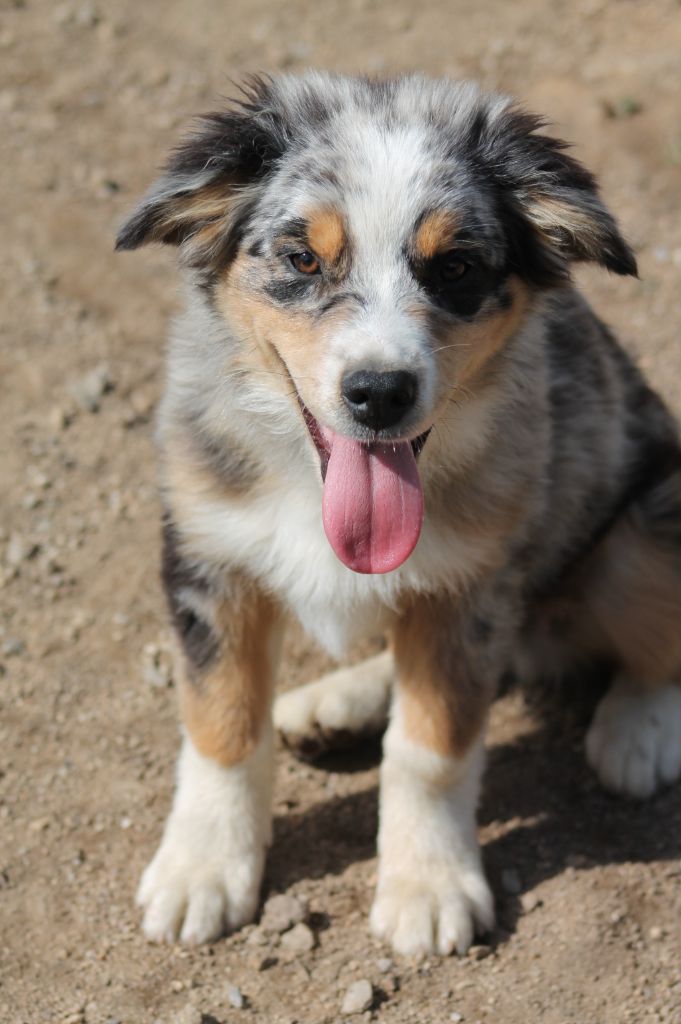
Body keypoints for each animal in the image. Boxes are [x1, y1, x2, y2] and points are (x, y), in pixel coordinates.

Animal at [116, 72, 681, 956]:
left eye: (455, 267)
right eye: (301, 258)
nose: (379, 393)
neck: (309, 483)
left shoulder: (470, 587)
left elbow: (431, 744)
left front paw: (428, 886)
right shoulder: (210, 557)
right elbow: (220, 724)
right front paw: (202, 869)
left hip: (634, 542)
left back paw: (638, 730)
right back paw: (334, 703)